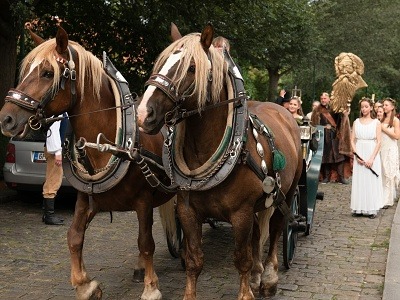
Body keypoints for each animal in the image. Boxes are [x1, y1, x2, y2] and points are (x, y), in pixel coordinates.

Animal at [0, 26, 175, 300]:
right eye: (26, 70)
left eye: (48, 73)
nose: (6, 119)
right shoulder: (87, 197)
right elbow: (74, 236)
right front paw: (85, 285)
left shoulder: (144, 200)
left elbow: (146, 242)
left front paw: (151, 287)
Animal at [138, 24, 304, 300]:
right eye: (161, 63)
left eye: (191, 68)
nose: (142, 114)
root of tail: (284, 112)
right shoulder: (188, 212)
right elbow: (194, 260)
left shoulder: (241, 213)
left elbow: (241, 259)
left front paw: (246, 293)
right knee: (259, 231)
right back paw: (258, 276)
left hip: (287, 193)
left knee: (277, 228)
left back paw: (269, 277)